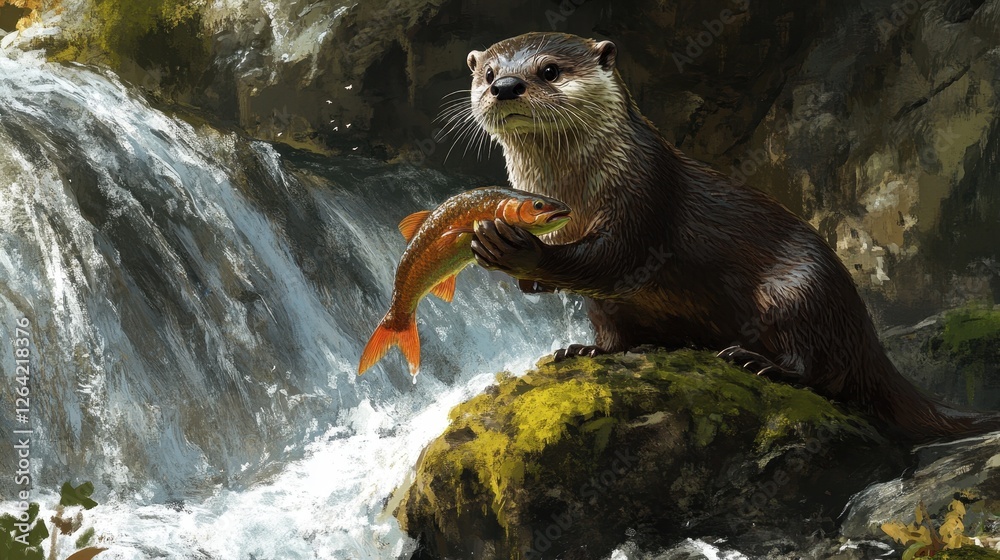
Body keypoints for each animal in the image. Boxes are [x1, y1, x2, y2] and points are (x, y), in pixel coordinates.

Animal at [457, 31, 1000, 442]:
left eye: (549, 70)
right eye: (487, 73)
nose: (505, 86)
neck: (576, 191)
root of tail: (866, 331)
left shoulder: (644, 198)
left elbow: (611, 261)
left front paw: (517, 250)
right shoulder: (596, 277)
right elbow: (599, 304)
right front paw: (585, 346)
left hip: (797, 290)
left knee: (824, 371)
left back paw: (757, 362)